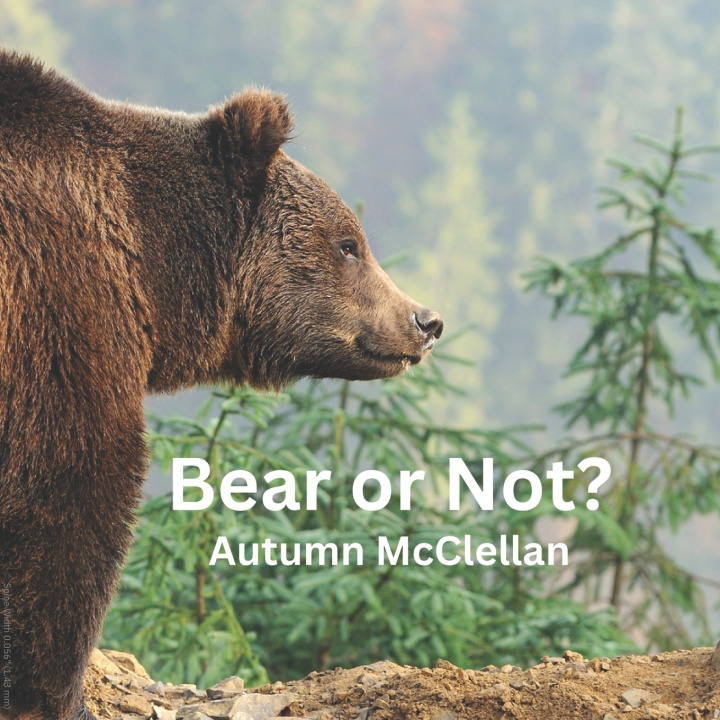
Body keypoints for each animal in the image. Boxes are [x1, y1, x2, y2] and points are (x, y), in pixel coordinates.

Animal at [0, 50, 443, 720]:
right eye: (349, 244)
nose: (425, 321)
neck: (156, 268)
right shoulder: (55, 304)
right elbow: (73, 484)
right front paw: (56, 694)